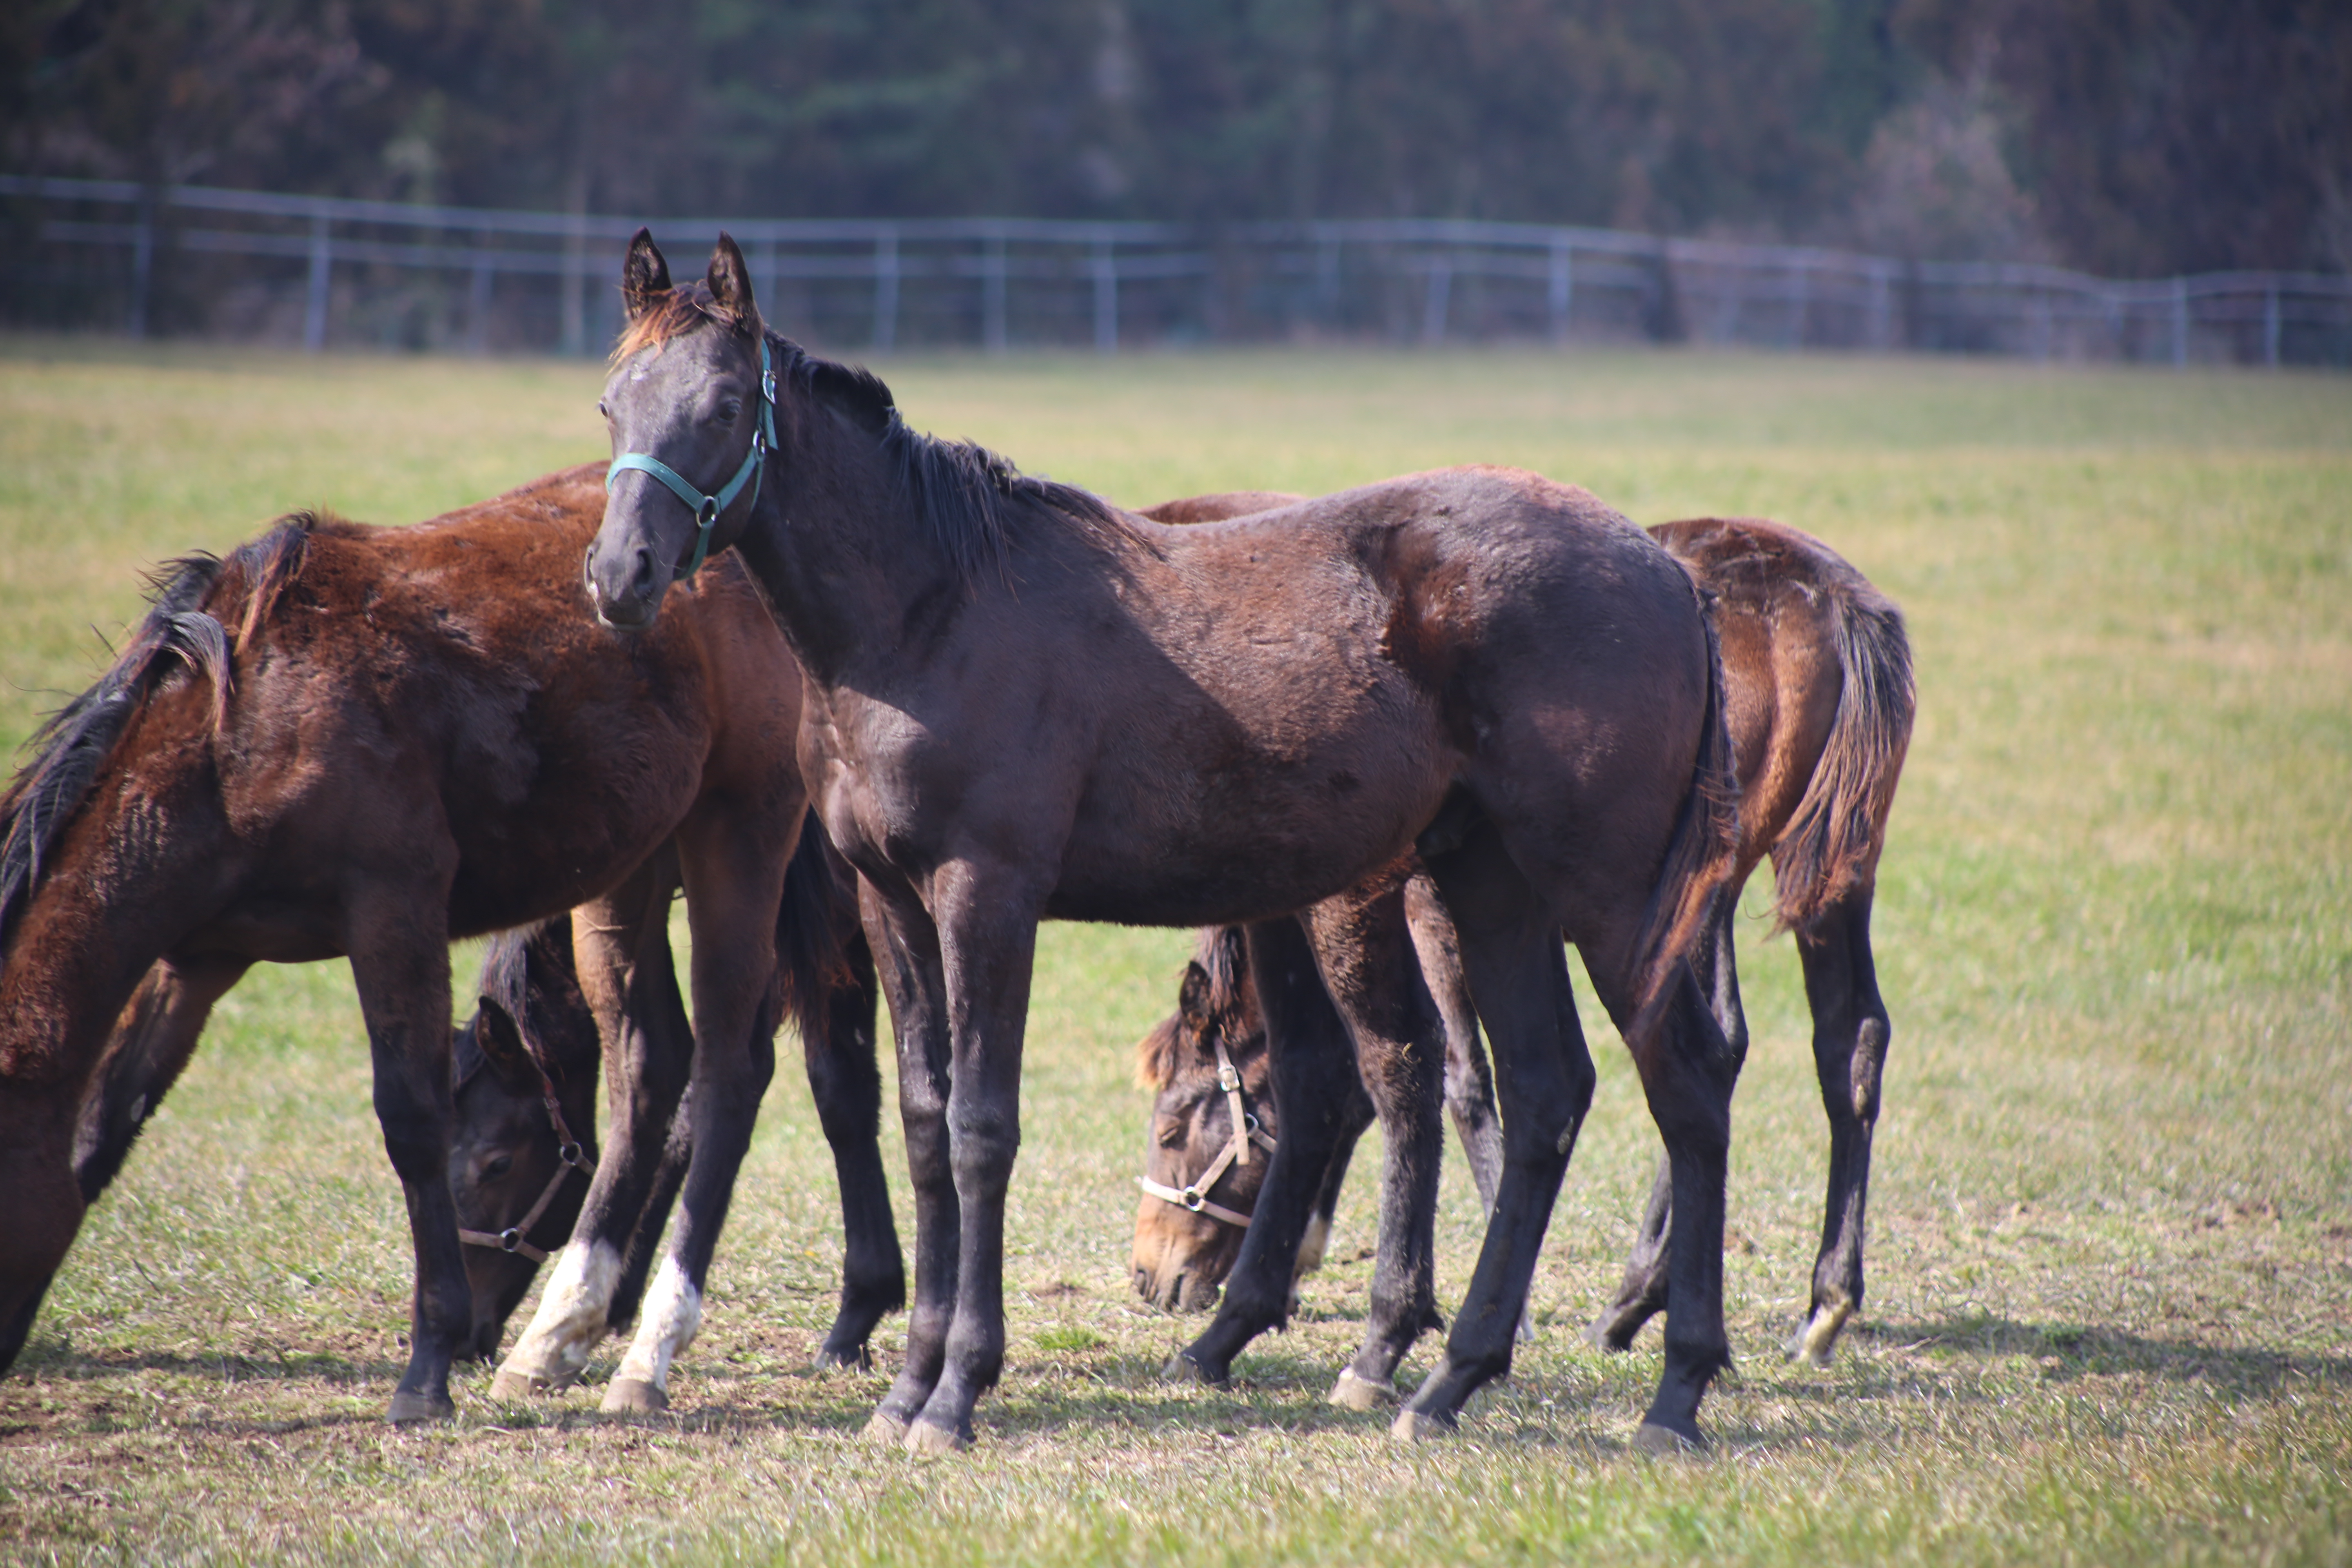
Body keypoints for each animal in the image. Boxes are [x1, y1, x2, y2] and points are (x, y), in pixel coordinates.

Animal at [0, 465, 833, 1420]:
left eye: (497, 1162)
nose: (472, 1337)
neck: (239, 726)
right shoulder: (194, 961)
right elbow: (106, 1122)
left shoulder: (393, 911)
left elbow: (411, 1118)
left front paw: (426, 1366)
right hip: (633, 869)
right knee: (649, 1066)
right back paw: (559, 1331)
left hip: (741, 833)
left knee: (730, 1069)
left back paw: (647, 1350)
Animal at [574, 236, 1750, 1457]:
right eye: (612, 406)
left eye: (719, 406)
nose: (619, 579)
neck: (926, 615)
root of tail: (1672, 576)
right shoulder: (888, 902)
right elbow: (924, 1122)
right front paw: (905, 1386)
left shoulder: (986, 896)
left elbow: (982, 1129)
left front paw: (956, 1391)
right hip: (1492, 883)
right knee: (1545, 1093)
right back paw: (1446, 1381)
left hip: (1607, 895)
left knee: (1684, 1084)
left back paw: (1673, 1388)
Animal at [1129, 510, 1919, 1392]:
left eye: (1172, 1127)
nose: (1151, 1276)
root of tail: (1830, 598)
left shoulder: (1409, 912)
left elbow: (1448, 1080)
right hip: (1831, 880)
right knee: (1846, 1041)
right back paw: (1816, 1304)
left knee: (1712, 1049)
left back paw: (1642, 1297)